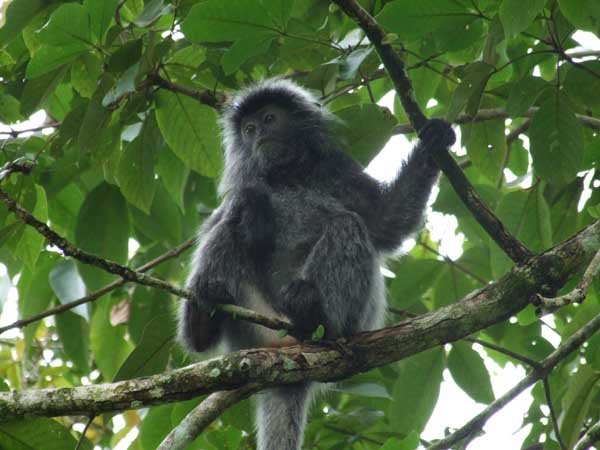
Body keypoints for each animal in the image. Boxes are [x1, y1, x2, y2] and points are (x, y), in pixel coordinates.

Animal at [179, 78, 456, 450]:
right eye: (249, 129)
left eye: (269, 119)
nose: (257, 135)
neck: (287, 176)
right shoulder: (249, 183)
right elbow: (230, 211)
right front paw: (254, 213)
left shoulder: (336, 172)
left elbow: (387, 222)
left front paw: (433, 142)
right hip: (251, 323)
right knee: (231, 221)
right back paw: (202, 320)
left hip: (349, 320)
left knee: (346, 224)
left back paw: (311, 314)